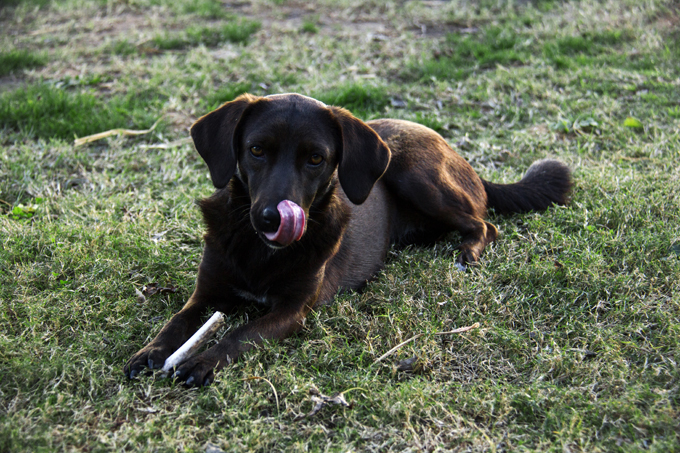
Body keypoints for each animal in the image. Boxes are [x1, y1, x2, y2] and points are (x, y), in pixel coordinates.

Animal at [123, 92, 572, 384]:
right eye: (256, 150)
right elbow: (177, 322)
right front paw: (151, 351)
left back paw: (467, 254)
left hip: (415, 172)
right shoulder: (206, 294)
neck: (259, 251)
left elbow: (242, 334)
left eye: (316, 158)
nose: (271, 218)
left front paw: (205, 361)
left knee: (484, 224)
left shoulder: (292, 311)